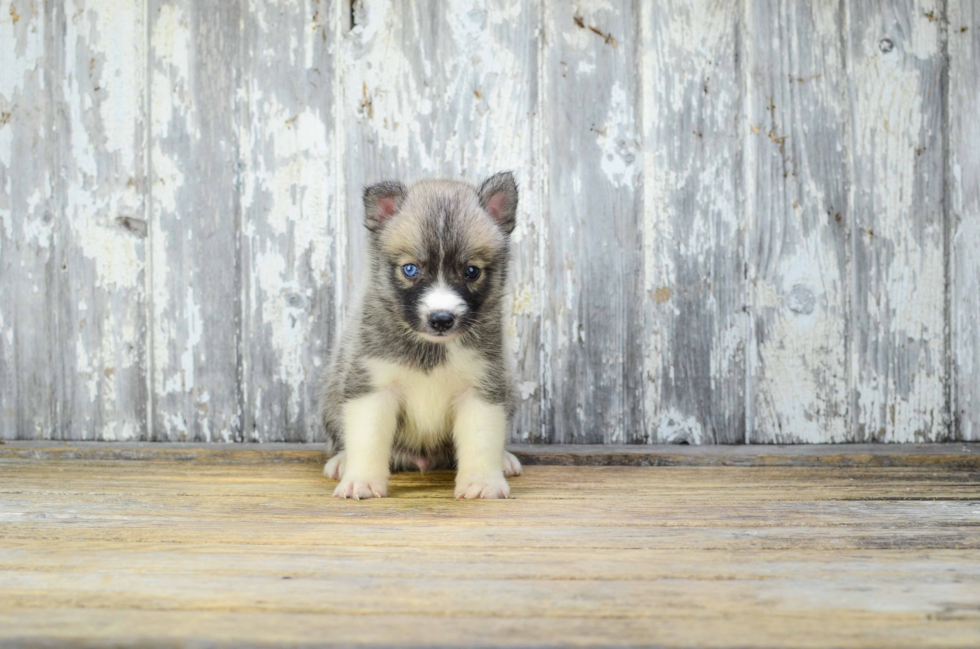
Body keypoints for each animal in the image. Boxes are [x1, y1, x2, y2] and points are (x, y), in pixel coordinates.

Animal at [320, 171, 520, 496]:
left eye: (472, 271)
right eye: (410, 269)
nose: (441, 319)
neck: (432, 348)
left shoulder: (481, 387)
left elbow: (482, 440)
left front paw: (482, 482)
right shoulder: (373, 387)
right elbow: (367, 440)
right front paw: (362, 479)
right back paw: (341, 460)